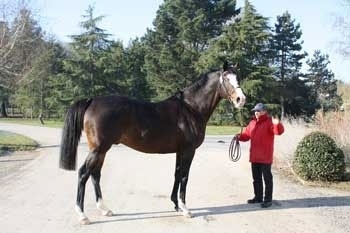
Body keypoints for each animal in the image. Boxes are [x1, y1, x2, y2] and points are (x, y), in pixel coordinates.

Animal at [59, 61, 246, 224]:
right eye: (226, 79)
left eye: (238, 78)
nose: (241, 99)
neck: (190, 109)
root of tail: (91, 101)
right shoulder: (188, 151)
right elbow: (184, 177)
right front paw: (185, 209)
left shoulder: (180, 151)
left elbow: (177, 174)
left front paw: (176, 205)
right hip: (98, 149)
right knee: (83, 174)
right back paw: (83, 215)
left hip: (101, 150)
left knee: (95, 174)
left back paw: (105, 209)